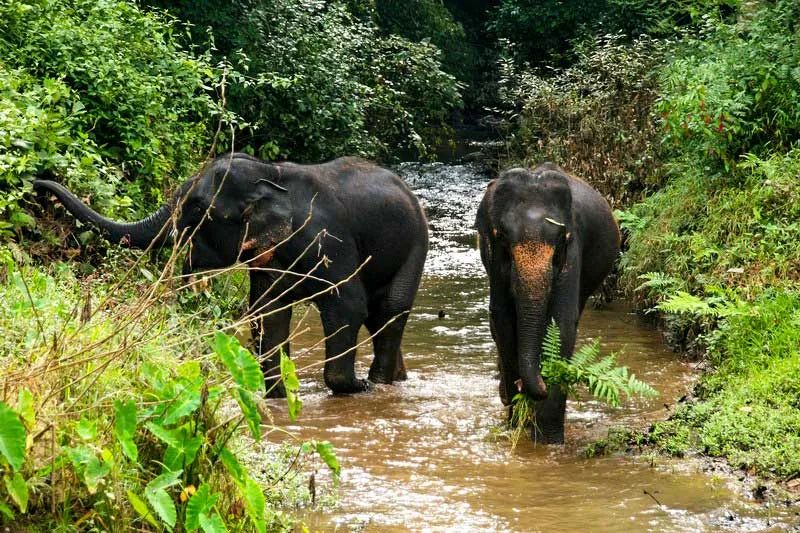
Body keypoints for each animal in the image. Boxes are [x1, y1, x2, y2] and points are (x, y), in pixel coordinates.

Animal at [36, 152, 432, 396]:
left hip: (417, 244)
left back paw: (380, 383)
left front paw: (356, 387)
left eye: (197, 208)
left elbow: (346, 305)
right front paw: (275, 394)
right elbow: (266, 312)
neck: (270, 173)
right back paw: (397, 378)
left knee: (390, 310)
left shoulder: (327, 238)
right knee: (379, 316)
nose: (39, 182)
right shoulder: (267, 255)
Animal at [476, 163, 620, 444]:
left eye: (561, 241)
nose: (537, 385)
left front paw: (548, 442)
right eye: (503, 239)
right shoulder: (492, 257)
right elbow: (502, 320)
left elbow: (561, 323)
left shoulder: (574, 248)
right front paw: (516, 424)